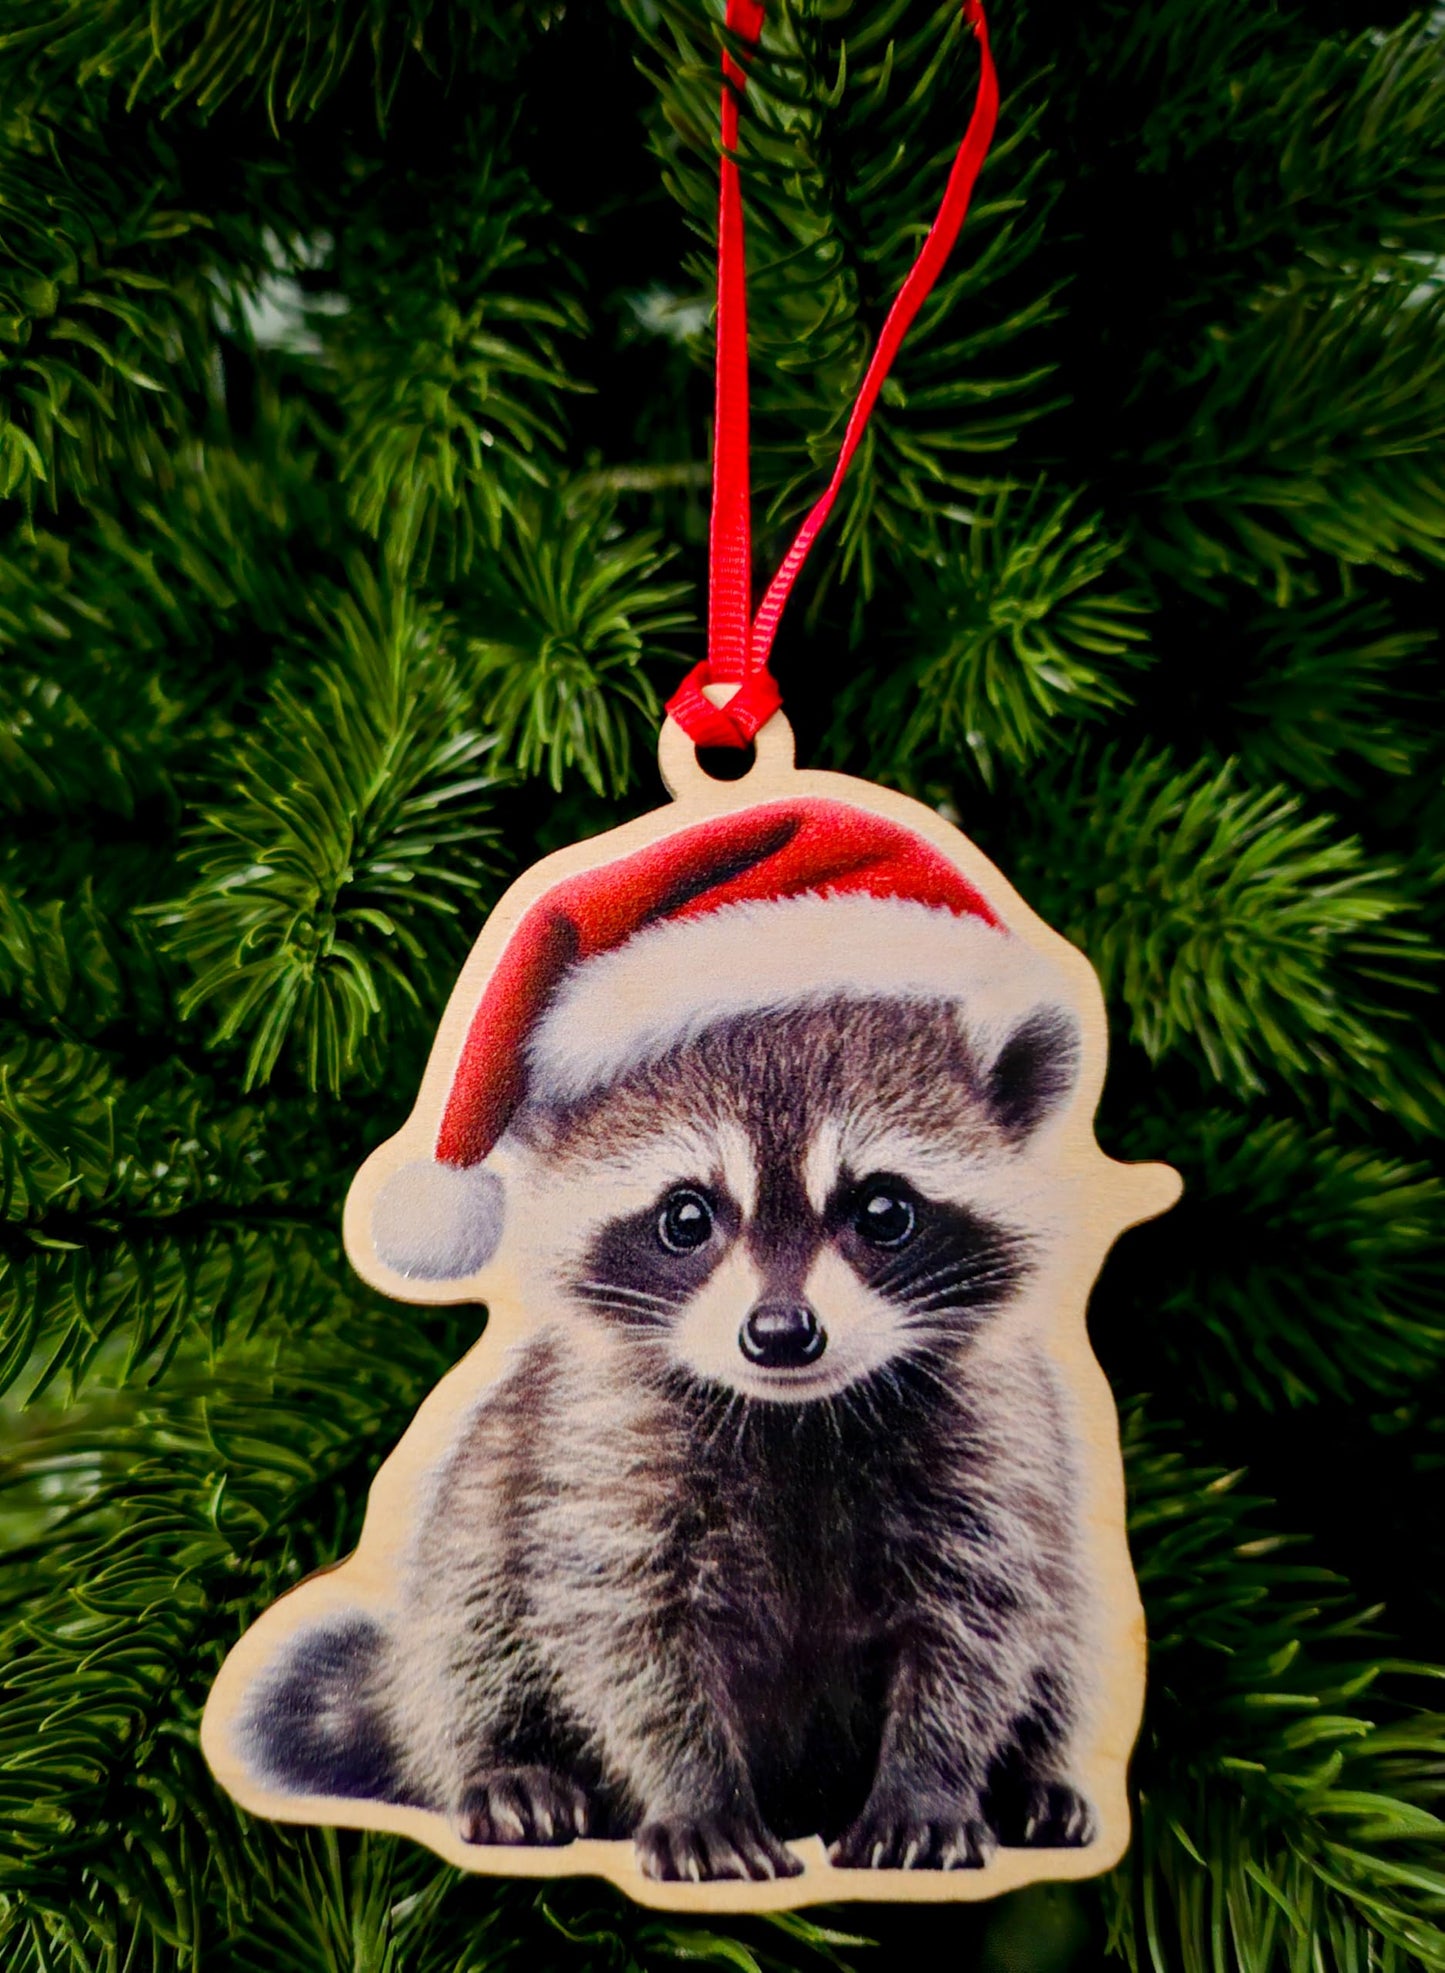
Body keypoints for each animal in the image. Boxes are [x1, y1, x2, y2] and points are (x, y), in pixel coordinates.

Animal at [243, 991, 1097, 1881]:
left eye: (883, 1210)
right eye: (685, 1216)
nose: (781, 1333)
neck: (795, 1413)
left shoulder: (991, 1441)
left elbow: (976, 1626)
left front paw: (924, 1786)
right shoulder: (602, 1444)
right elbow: (629, 1633)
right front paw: (699, 1796)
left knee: (1060, 1626)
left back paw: (1031, 1778)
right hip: (487, 1492)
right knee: (468, 1615)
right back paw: (503, 1762)